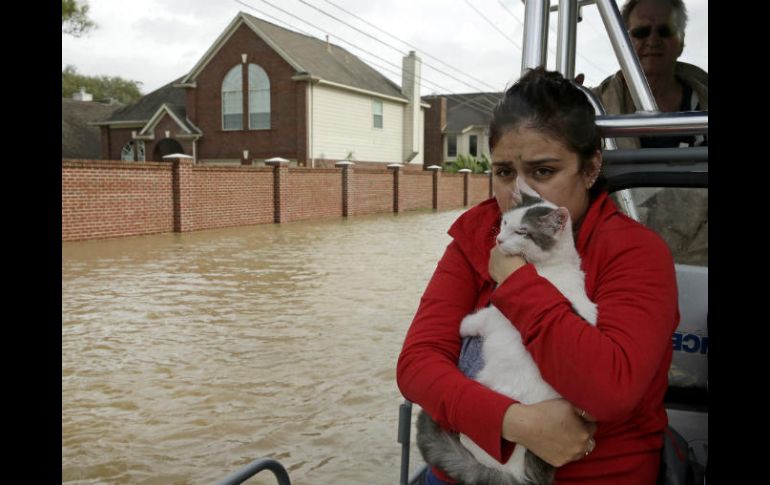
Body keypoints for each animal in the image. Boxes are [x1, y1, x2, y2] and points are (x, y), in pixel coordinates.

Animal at [416, 178, 596, 484]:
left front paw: (464, 325)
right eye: (504, 223)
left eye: (522, 232)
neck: (548, 267)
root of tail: (520, 473)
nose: (499, 240)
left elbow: (479, 318)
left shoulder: (497, 315)